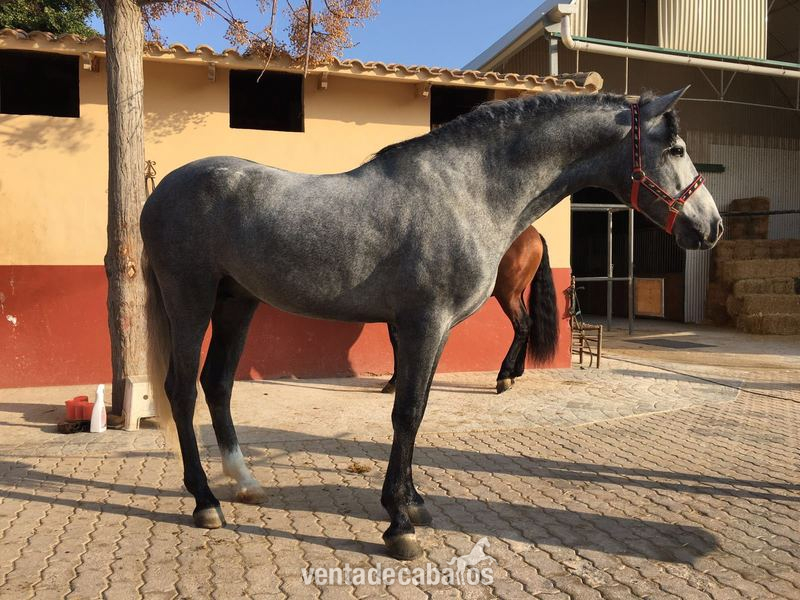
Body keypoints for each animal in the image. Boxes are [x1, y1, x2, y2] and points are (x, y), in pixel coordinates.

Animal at [380, 225, 558, 396]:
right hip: (516, 295)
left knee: (522, 325)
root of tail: (534, 234)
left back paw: (504, 376)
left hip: (509, 296)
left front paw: (394, 381)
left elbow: (397, 340)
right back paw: (514, 373)